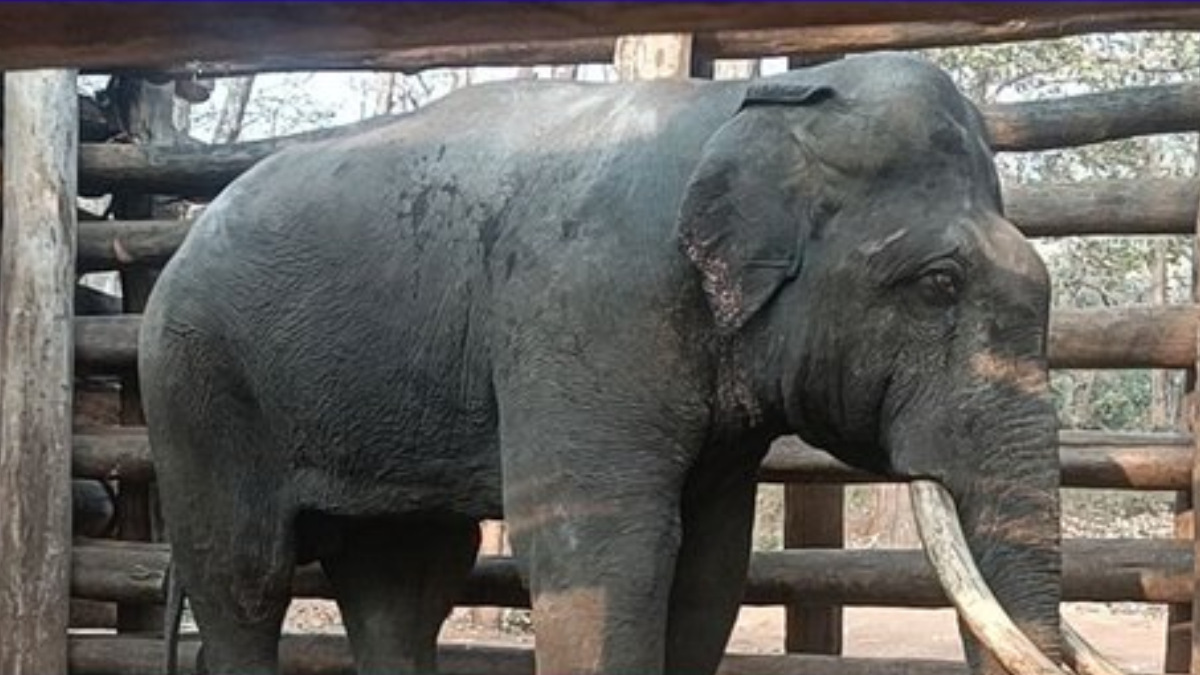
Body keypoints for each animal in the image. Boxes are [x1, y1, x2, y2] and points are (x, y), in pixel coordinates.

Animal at [140, 53, 1070, 675]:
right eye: (938, 284)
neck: (746, 105)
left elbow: (710, 567)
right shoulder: (587, 304)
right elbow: (605, 550)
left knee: (404, 579)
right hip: (198, 386)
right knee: (244, 575)